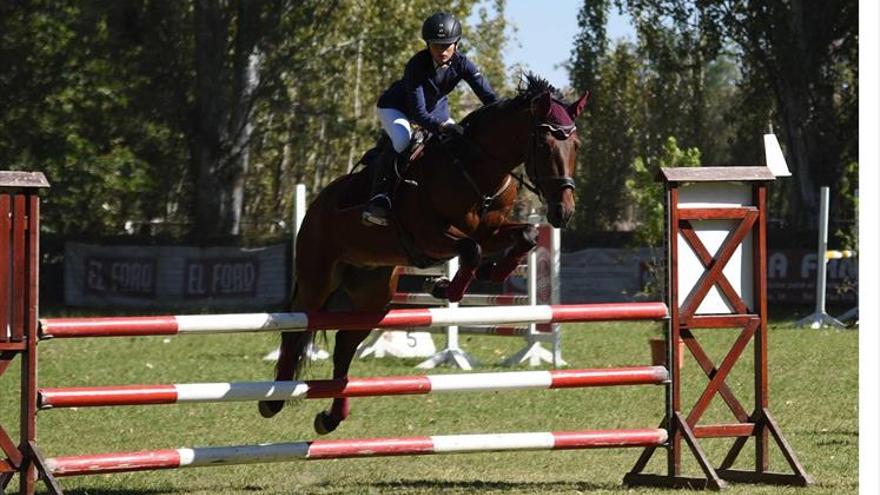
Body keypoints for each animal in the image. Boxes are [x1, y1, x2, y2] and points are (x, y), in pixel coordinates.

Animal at [262, 73, 592, 434]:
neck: (476, 170)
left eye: (576, 146)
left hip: (373, 295)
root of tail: (318, 203)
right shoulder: (429, 236)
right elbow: (471, 250)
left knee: (345, 345)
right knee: (295, 331)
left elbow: (526, 236)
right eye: (545, 145)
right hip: (317, 279)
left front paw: (482, 275)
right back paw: (272, 401)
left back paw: (330, 417)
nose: (563, 212)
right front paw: (444, 287)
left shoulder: (489, 231)